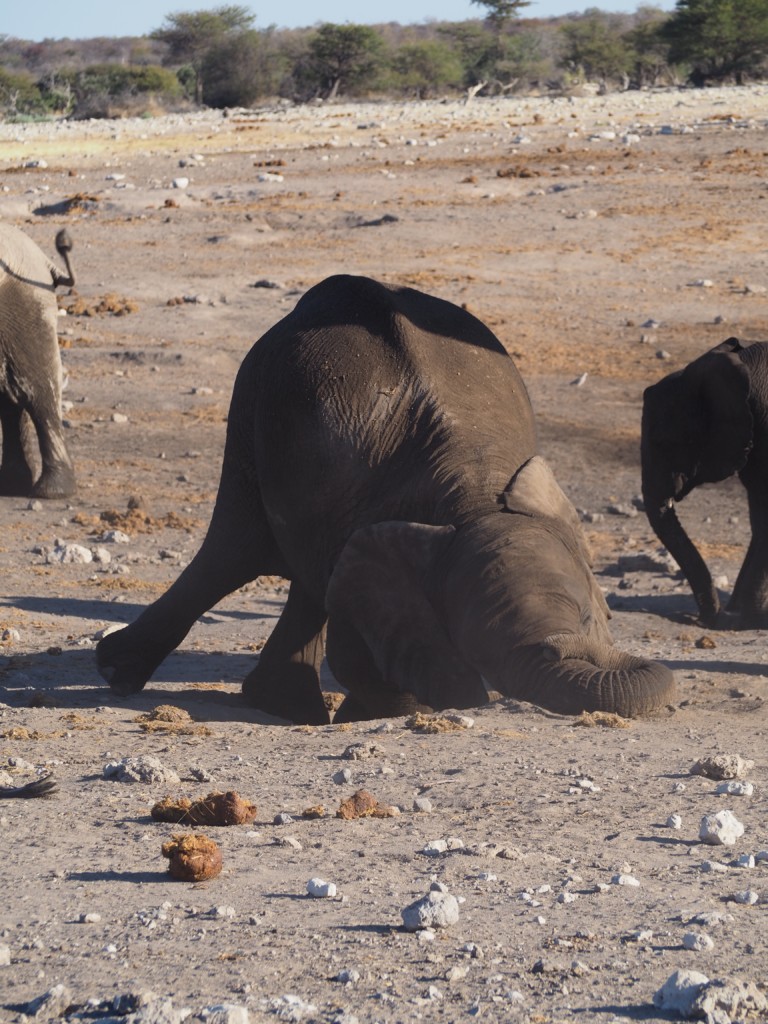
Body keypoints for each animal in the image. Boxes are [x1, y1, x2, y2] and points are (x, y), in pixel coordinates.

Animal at [0, 224, 76, 499]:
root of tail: (45, 261)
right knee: (10, 396)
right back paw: (13, 485)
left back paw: (51, 492)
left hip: (25, 301)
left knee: (35, 391)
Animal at [97, 272, 679, 720]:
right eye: (477, 639)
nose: (575, 647)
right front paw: (393, 710)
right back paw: (120, 671)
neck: (473, 496)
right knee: (237, 547)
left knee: (302, 576)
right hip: (252, 397)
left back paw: (284, 706)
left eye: (587, 618)